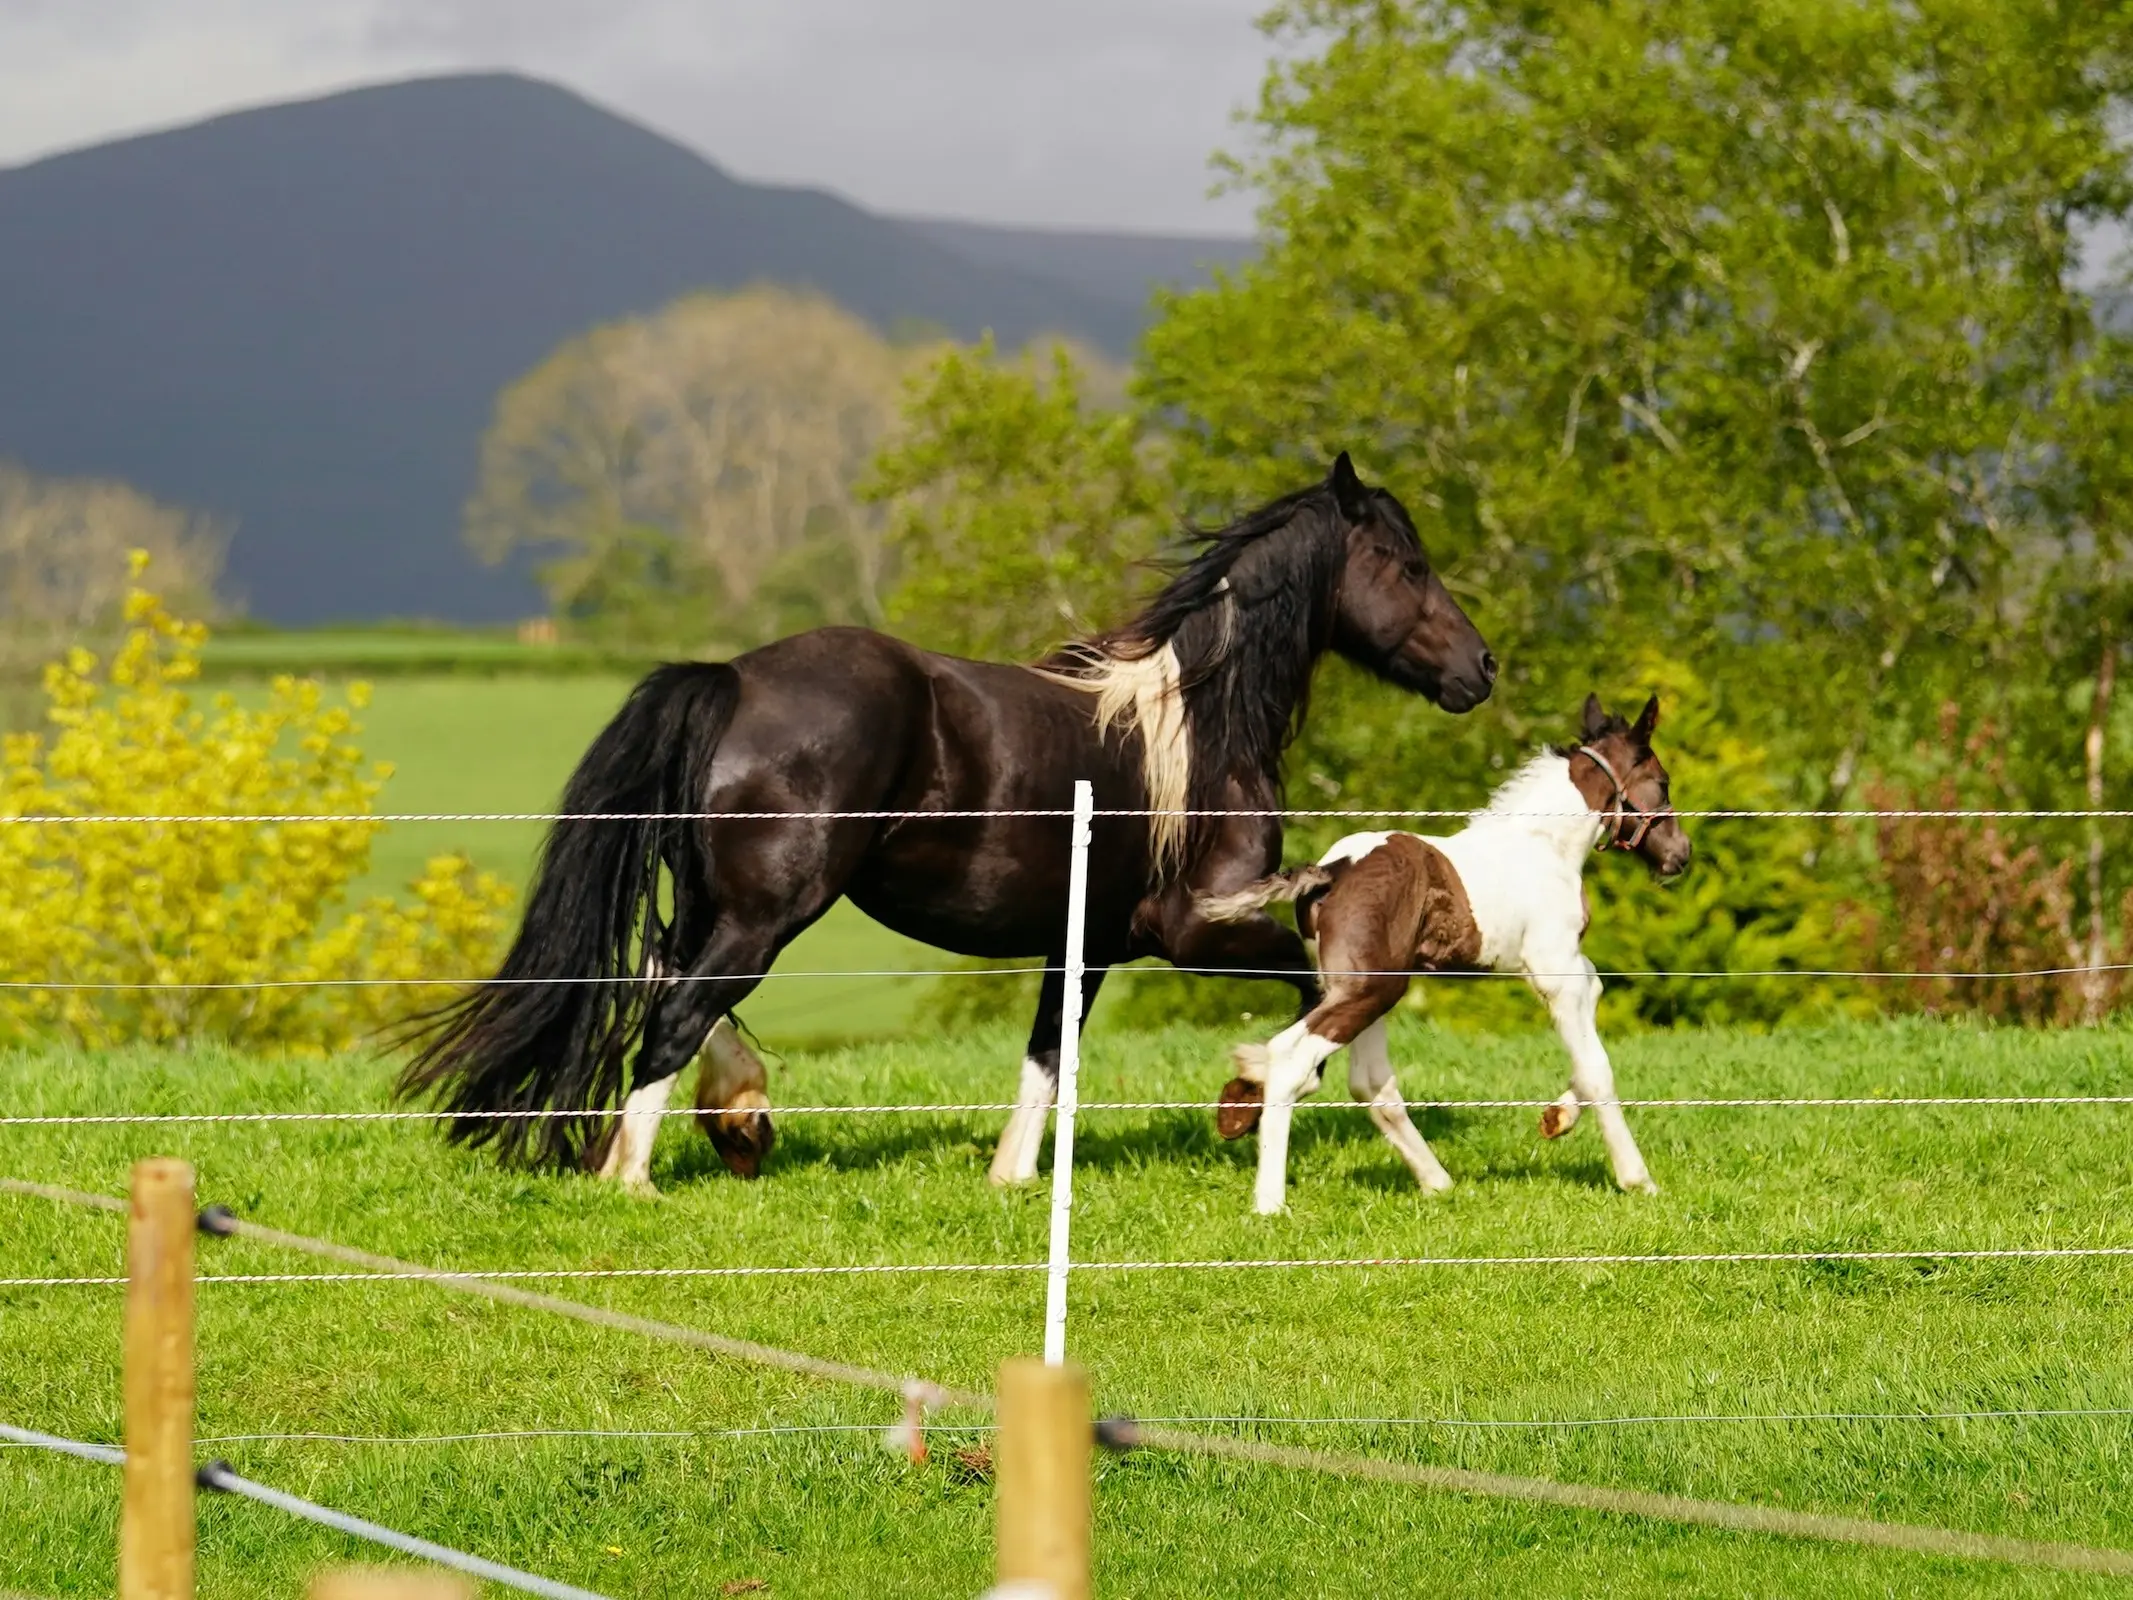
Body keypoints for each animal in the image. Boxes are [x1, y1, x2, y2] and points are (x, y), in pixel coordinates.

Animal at [403, 452, 1501, 1194]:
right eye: (1404, 564)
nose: (1481, 668)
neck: (1193, 724)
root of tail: (732, 678)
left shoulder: (1088, 942)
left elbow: (1047, 1056)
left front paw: (1012, 1178)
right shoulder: (1195, 925)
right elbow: (1320, 994)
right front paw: (1261, 1093)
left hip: (715, 906)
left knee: (666, 988)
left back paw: (739, 1121)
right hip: (766, 916)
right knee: (672, 1017)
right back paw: (633, 1176)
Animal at [1211, 691, 1689, 1211]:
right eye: (1661, 781)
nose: (1680, 854)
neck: (1544, 846)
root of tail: (1332, 871)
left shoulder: (1559, 966)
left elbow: (1595, 1003)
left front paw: (1555, 1118)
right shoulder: (1554, 969)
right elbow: (1597, 1065)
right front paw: (1636, 1177)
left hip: (1361, 989)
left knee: (1369, 1081)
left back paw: (1436, 1181)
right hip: (1369, 990)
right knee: (1292, 1056)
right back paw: (1270, 1202)